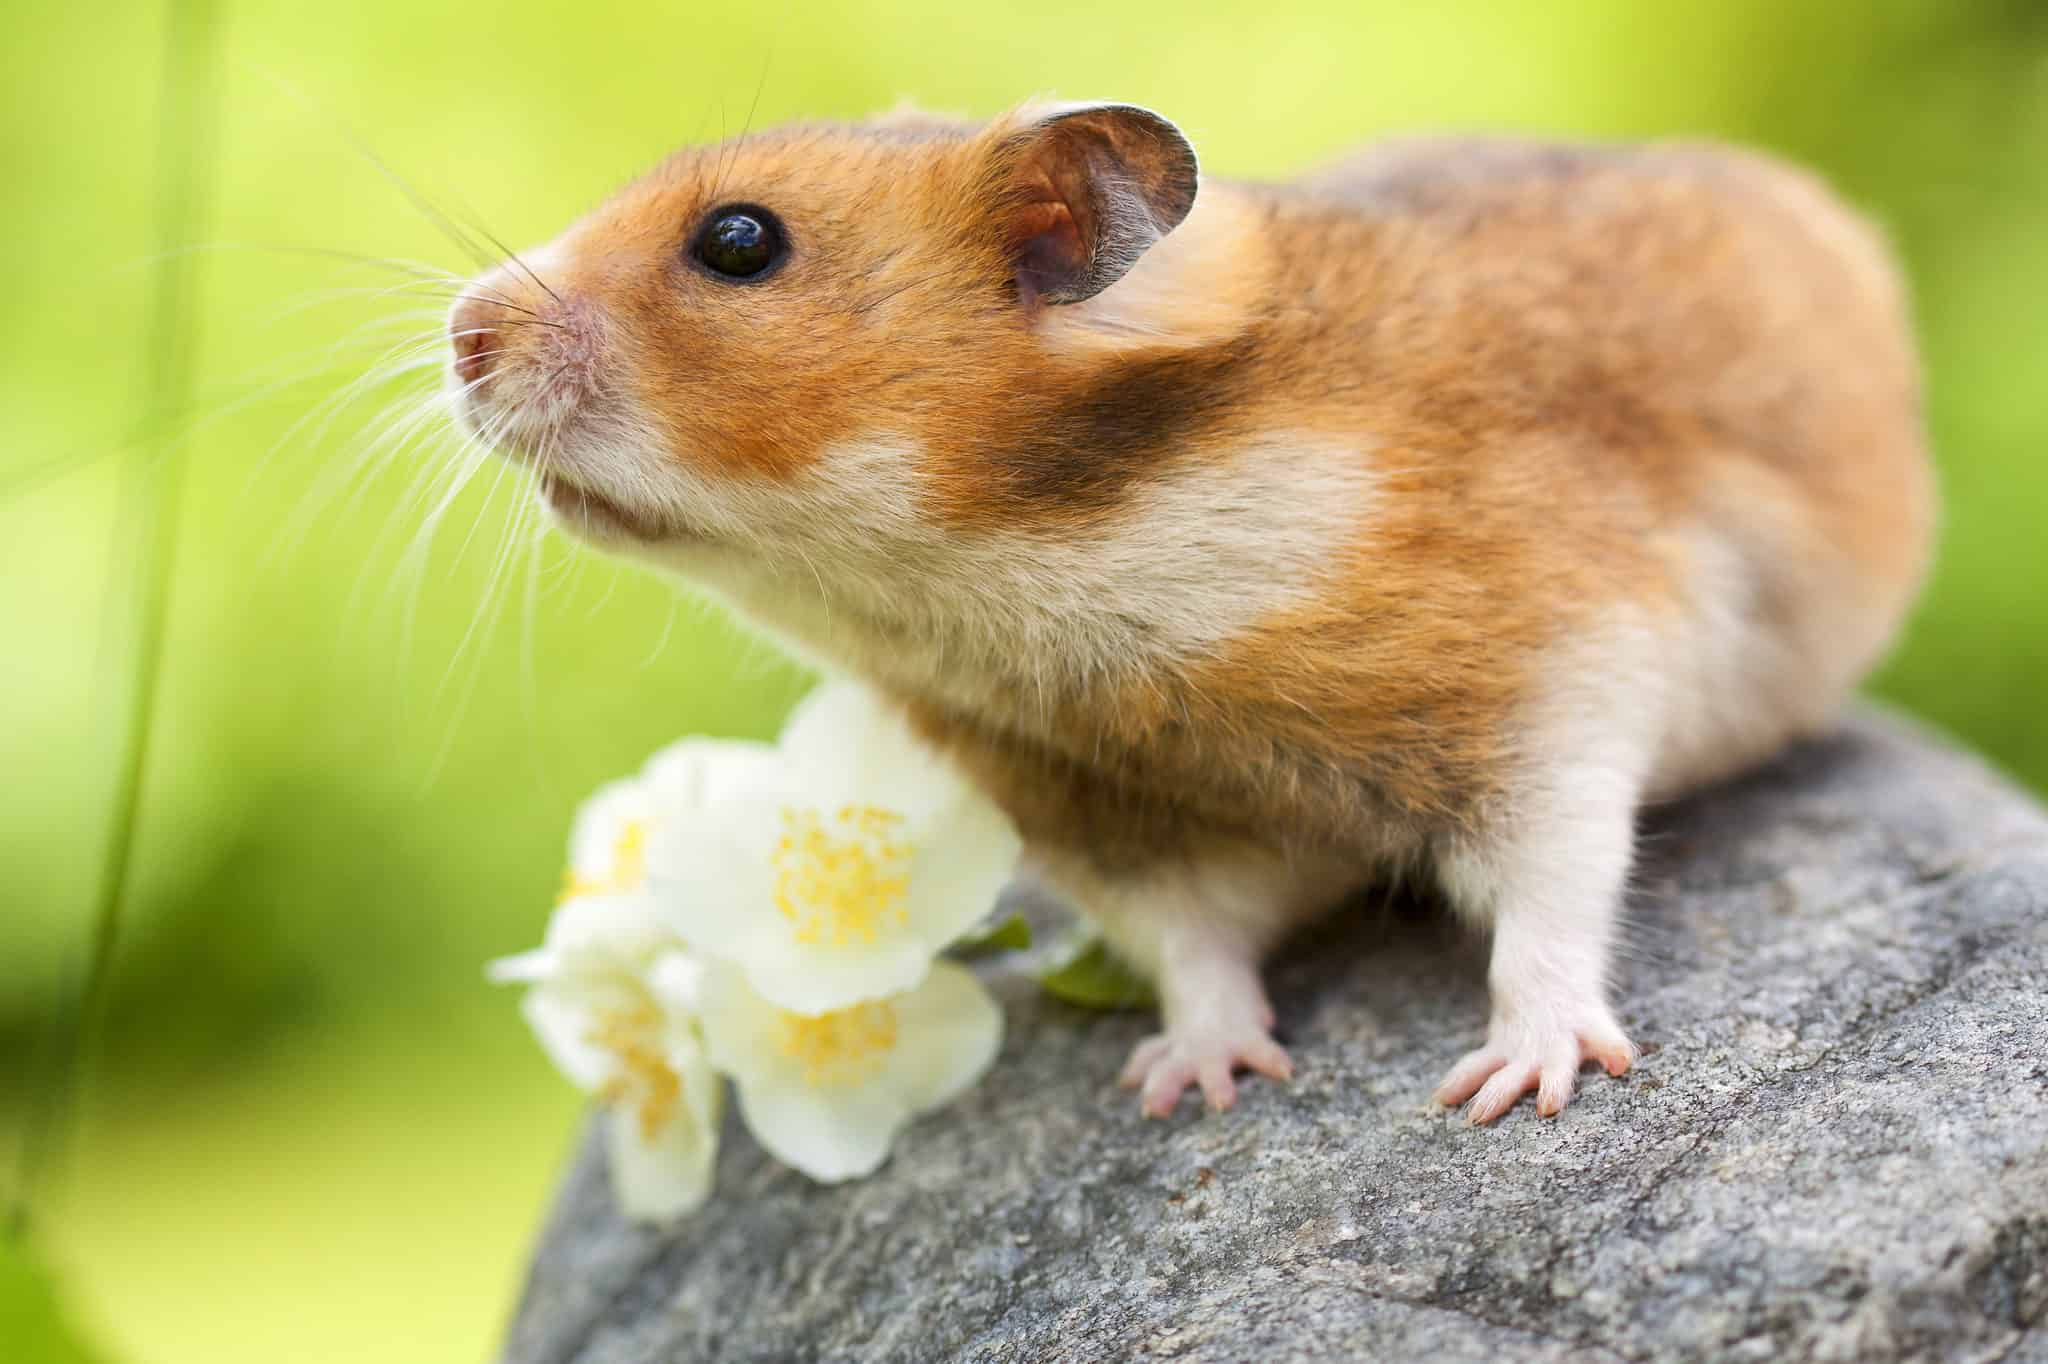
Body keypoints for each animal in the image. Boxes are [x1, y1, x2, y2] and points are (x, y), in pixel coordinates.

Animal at [440, 103, 1925, 1114]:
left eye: (738, 242)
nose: (459, 335)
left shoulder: (1556, 679)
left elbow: (1554, 889)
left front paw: (1516, 1085)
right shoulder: (1112, 818)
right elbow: (1194, 948)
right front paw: (1193, 1084)